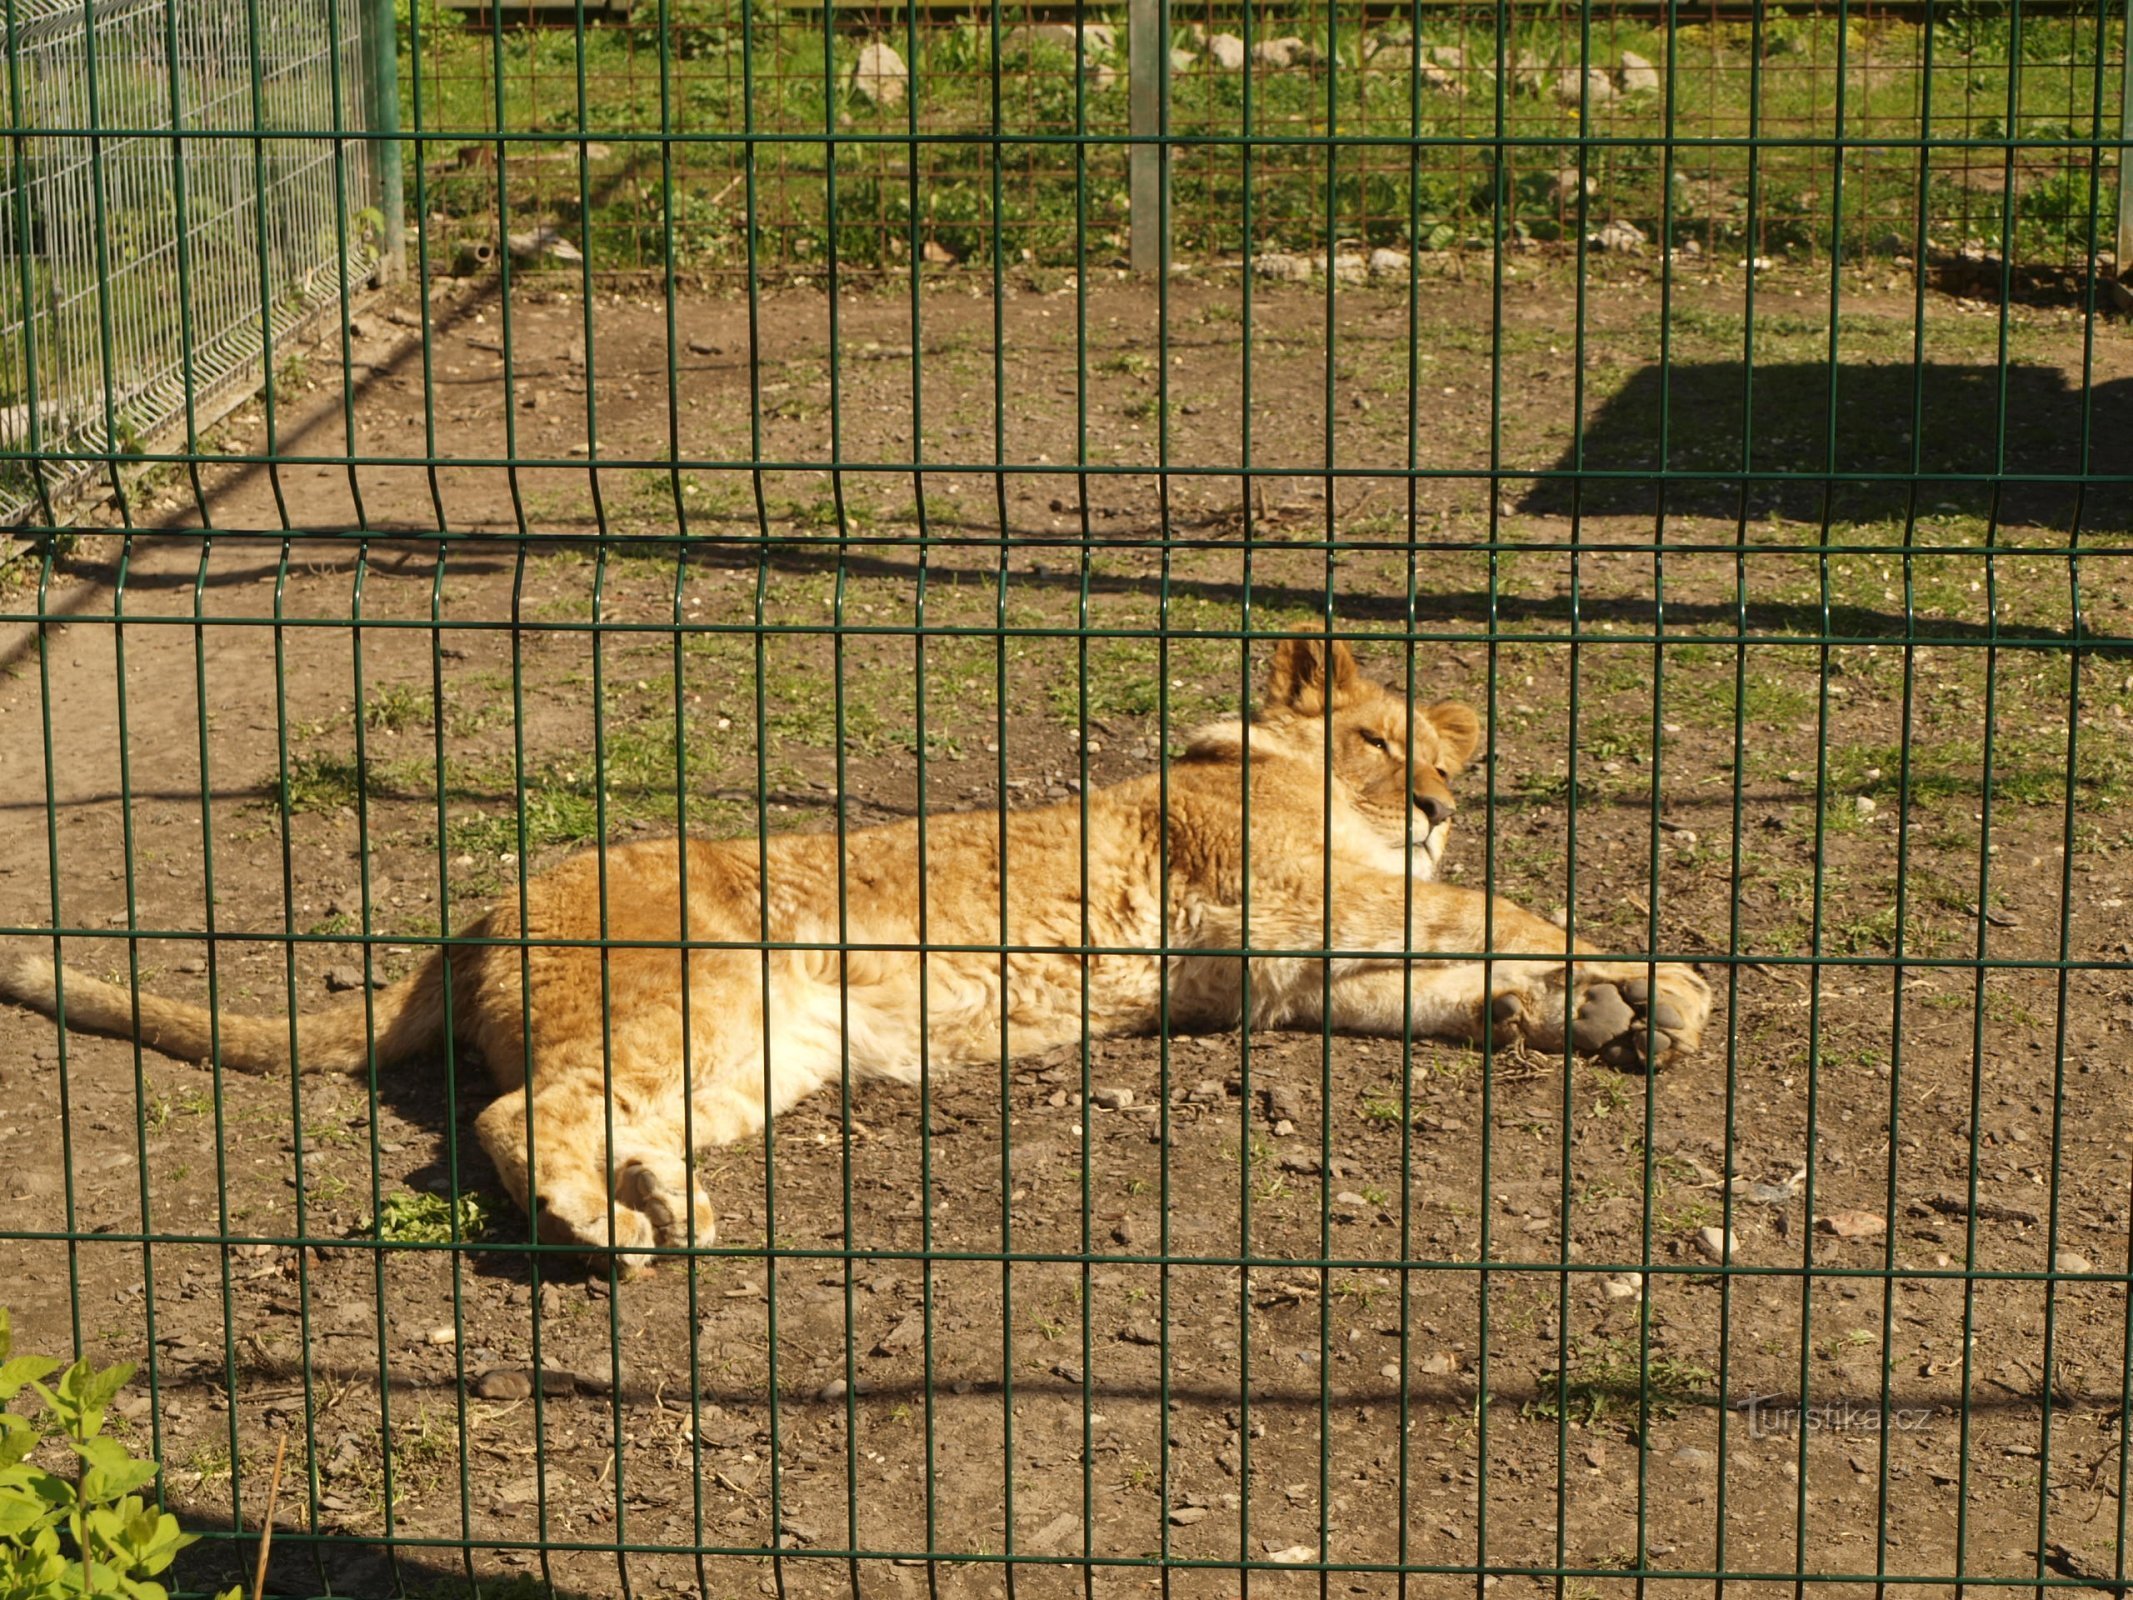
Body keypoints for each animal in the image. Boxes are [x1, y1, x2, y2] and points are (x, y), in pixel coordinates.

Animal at [0, 644, 1697, 1280]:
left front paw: (1605, 1014)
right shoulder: (1296, 903)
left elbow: (1466, 963)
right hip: (697, 993)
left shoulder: (1289, 973)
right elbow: (1499, 915)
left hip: (756, 1052)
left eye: (1446, 761)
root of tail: (480, 910)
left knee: (592, 1114)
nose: (1435, 804)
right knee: (509, 1116)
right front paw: (1660, 981)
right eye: (1380, 743)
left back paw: (659, 1203)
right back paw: (610, 1231)